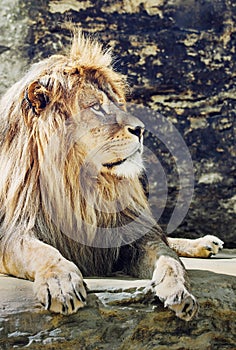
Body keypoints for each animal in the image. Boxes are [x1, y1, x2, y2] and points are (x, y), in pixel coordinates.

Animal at [0, 32, 223, 320]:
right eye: (96, 107)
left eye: (117, 104)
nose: (141, 129)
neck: (79, 182)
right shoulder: (15, 231)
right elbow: (43, 252)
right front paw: (61, 283)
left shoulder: (132, 232)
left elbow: (167, 256)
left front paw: (178, 289)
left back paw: (205, 243)